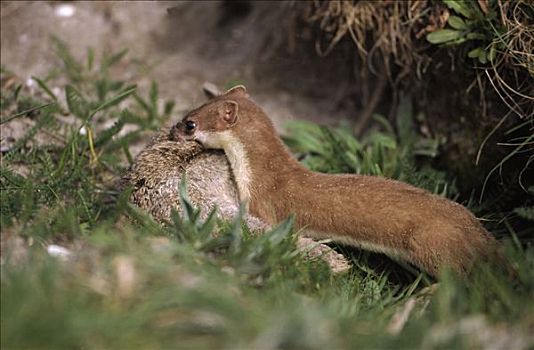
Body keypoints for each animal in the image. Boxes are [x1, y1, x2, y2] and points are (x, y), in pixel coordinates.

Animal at [172, 85, 502, 276]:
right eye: (189, 112)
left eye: (190, 124)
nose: (172, 130)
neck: (255, 171)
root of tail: (478, 232)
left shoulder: (264, 204)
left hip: (431, 243)